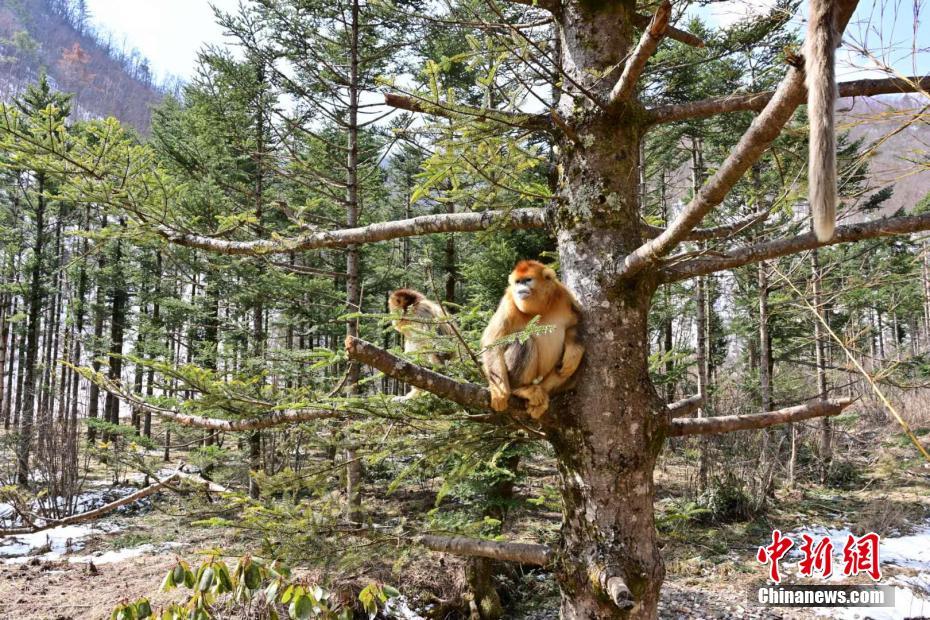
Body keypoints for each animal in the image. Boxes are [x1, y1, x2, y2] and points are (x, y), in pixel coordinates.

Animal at [482, 260, 584, 418]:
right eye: (518, 282)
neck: (539, 309)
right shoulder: (509, 302)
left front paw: (573, 353)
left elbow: (575, 323)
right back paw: (521, 390)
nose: (520, 289)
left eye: (527, 280)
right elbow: (493, 343)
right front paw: (499, 392)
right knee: (524, 342)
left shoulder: (563, 294)